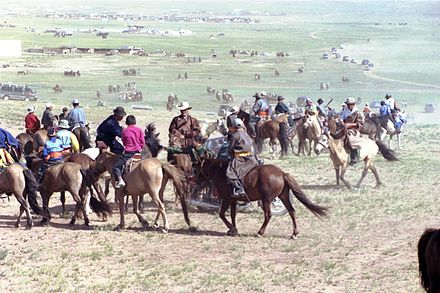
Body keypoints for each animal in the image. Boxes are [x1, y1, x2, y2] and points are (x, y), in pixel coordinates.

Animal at [195, 157, 326, 237]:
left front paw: (231, 228)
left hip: (267, 200)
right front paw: (233, 229)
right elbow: (232, 215)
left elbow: (222, 214)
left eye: (196, 167)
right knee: (291, 211)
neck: (220, 171)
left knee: (268, 215)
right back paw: (294, 233)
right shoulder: (233, 200)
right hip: (283, 197)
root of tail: (282, 174)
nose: (195, 180)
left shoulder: (227, 199)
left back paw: (260, 232)